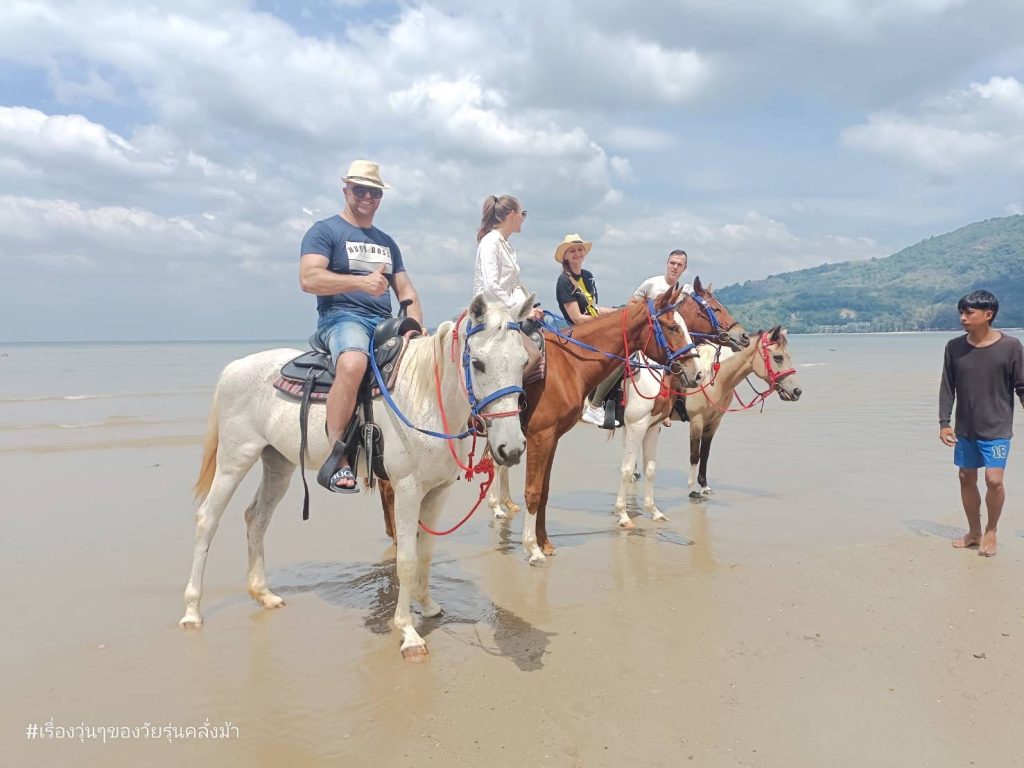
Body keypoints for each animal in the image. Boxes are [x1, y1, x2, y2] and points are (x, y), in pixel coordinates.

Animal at [180, 294, 532, 663]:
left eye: (524, 362)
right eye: (477, 363)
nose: (511, 448)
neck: (425, 398)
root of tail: (235, 368)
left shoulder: (438, 491)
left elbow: (425, 553)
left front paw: (429, 606)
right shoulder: (408, 489)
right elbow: (406, 560)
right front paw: (408, 633)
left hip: (277, 462)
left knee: (256, 518)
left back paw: (264, 594)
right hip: (235, 459)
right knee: (207, 519)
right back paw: (192, 611)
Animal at [610, 327, 802, 528]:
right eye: (778, 357)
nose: (797, 391)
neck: (714, 379)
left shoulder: (714, 422)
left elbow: (705, 454)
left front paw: (704, 485)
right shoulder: (697, 420)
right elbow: (695, 455)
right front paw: (693, 488)